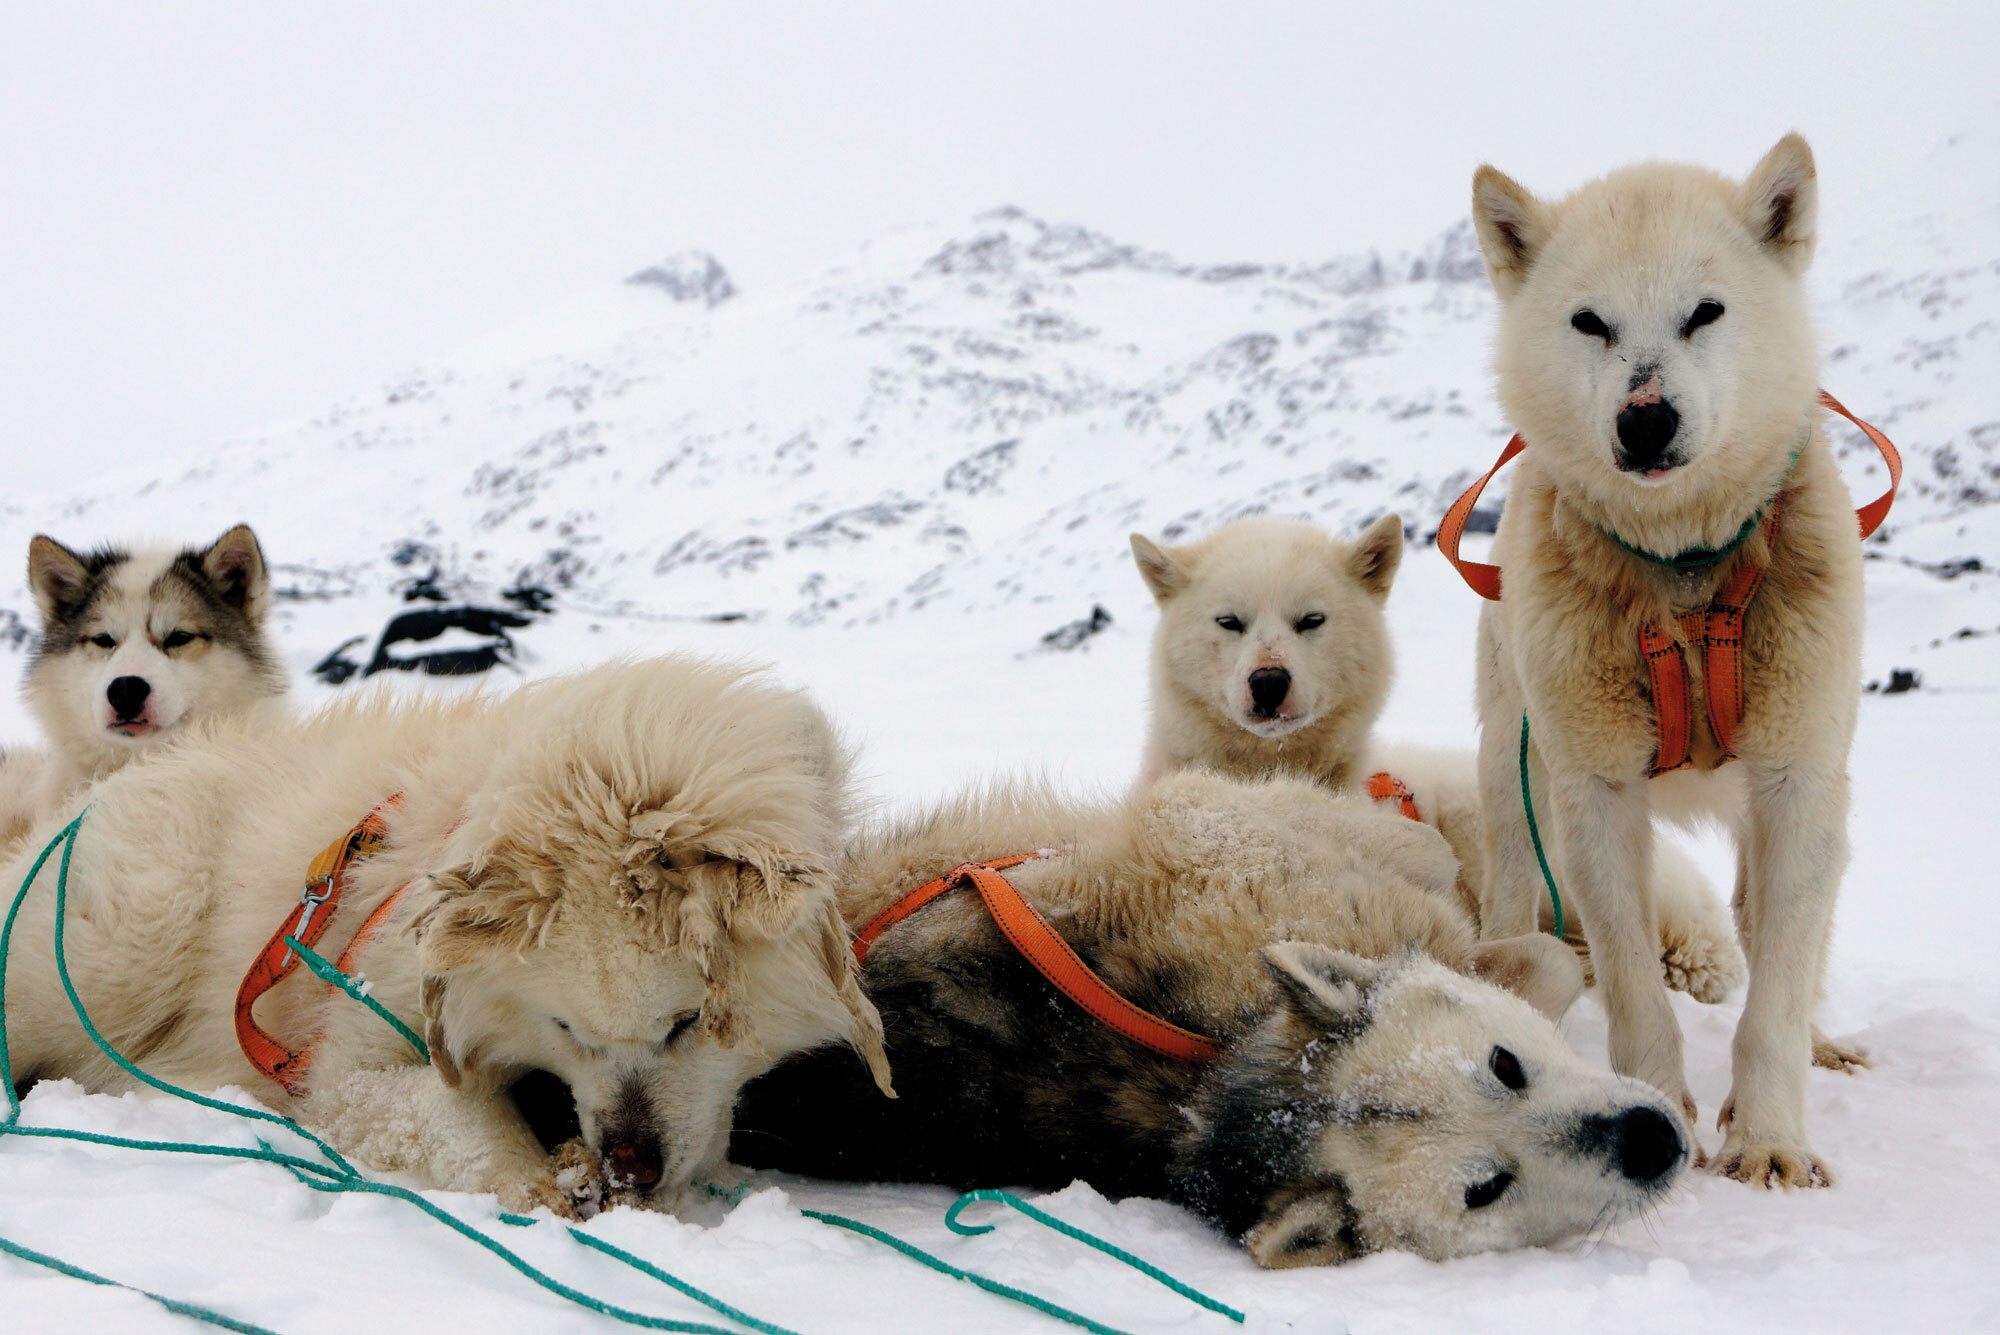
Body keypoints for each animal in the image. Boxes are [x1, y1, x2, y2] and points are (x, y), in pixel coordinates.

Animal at [1456, 129, 1888, 1183]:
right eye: (1589, 322)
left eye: (1705, 311)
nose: (1644, 418)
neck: (1682, 575)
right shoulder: (1597, 793)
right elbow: (1630, 981)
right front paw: (1657, 1102)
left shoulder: (1797, 782)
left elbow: (1775, 993)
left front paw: (1770, 1137)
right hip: (1513, 774)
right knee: (1514, 897)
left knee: (1777, 930)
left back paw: (1821, 1040)